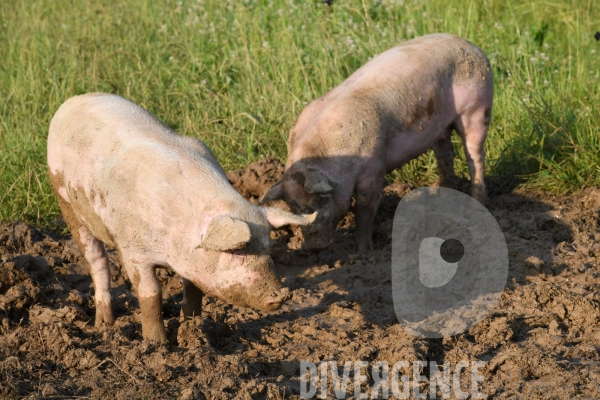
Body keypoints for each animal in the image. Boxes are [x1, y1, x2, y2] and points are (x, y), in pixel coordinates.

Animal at [48, 92, 316, 342]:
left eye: (268, 248)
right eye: (237, 252)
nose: (282, 294)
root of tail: (74, 100)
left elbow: (194, 290)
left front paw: (193, 329)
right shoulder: (132, 251)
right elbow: (151, 292)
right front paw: (156, 344)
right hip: (65, 201)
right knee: (97, 261)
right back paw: (104, 325)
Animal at [262, 35, 492, 253]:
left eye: (319, 201)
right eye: (294, 208)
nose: (314, 247)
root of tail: (471, 45)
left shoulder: (373, 168)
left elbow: (365, 208)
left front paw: (362, 252)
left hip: (477, 107)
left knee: (475, 157)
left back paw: (478, 202)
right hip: (439, 127)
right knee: (446, 155)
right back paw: (443, 196)